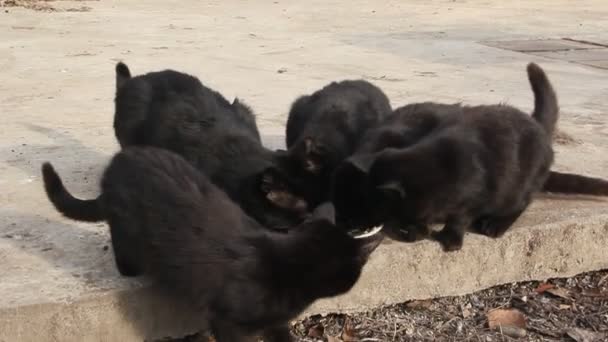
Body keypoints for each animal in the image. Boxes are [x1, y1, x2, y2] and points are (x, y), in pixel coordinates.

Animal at [332, 62, 560, 251]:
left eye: (359, 204)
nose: (345, 225)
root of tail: (538, 125)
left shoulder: (473, 196)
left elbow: (459, 217)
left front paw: (448, 238)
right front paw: (418, 228)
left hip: (516, 186)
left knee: (521, 202)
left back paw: (494, 224)